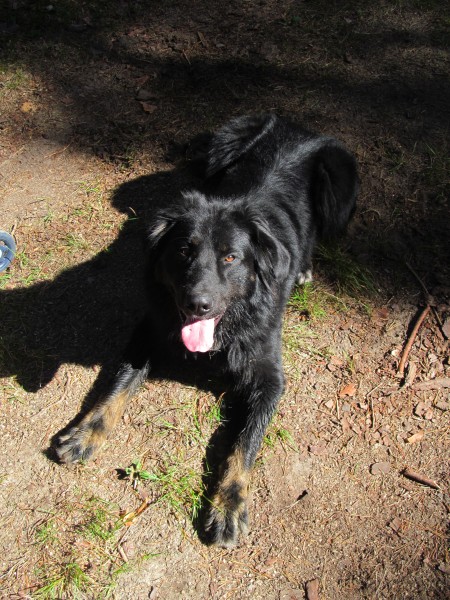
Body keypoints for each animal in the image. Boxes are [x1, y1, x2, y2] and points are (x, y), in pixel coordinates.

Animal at [55, 114, 358, 547]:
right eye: (184, 250)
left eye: (231, 258)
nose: (197, 305)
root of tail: (298, 128)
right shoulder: (148, 331)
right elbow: (115, 385)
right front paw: (85, 432)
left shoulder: (269, 377)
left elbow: (244, 444)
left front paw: (228, 504)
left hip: (337, 187)